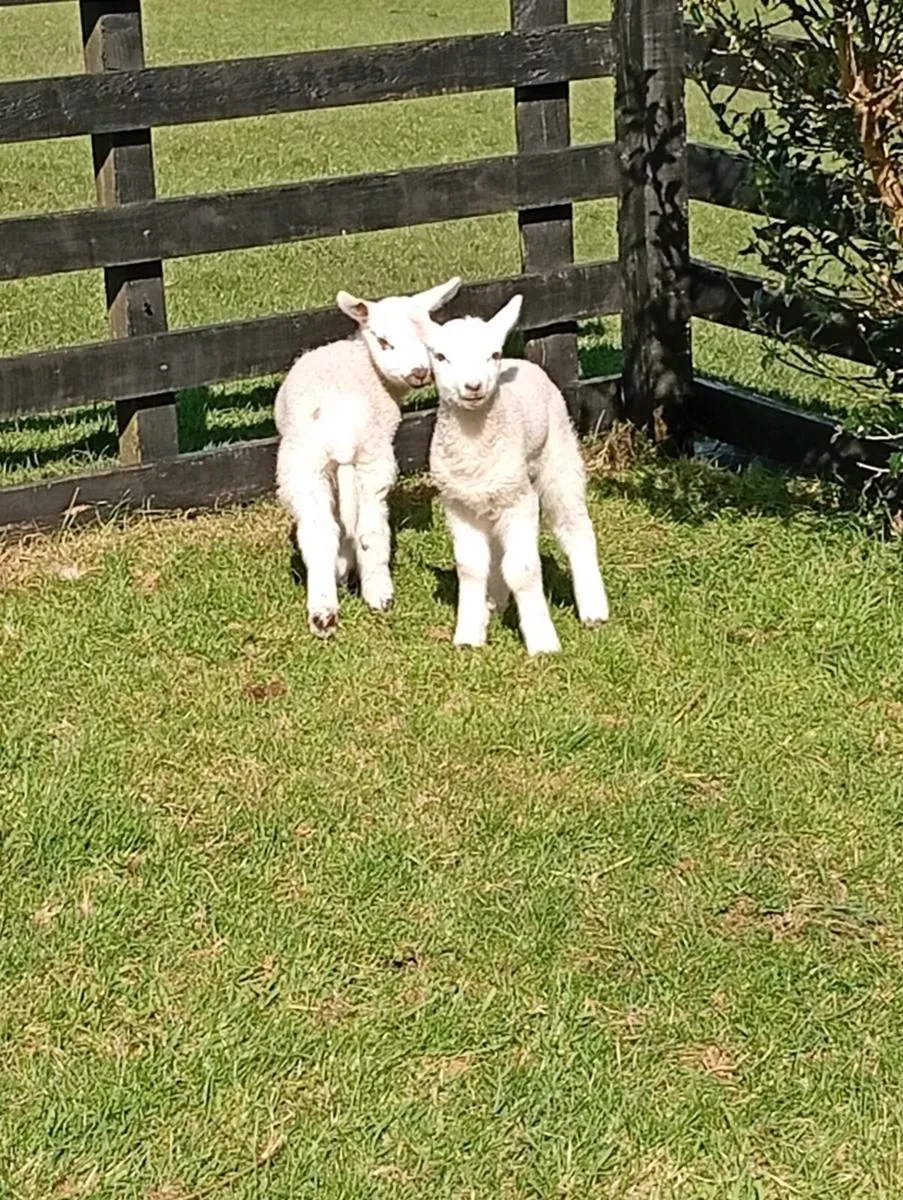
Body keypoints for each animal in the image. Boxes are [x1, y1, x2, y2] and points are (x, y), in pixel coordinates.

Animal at [275, 277, 461, 638]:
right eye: (384, 341)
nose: (420, 373)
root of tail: (337, 418)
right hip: (372, 455)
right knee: (371, 529)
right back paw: (379, 594)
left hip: (302, 462)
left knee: (318, 532)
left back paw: (323, 613)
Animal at [415, 295, 609, 656]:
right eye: (441, 356)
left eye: (493, 354)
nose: (473, 386)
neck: (475, 448)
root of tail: (525, 362)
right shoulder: (458, 504)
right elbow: (471, 567)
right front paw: (468, 634)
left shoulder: (520, 502)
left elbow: (523, 570)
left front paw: (542, 641)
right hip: (494, 494)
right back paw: (494, 602)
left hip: (558, 457)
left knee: (575, 529)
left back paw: (593, 609)